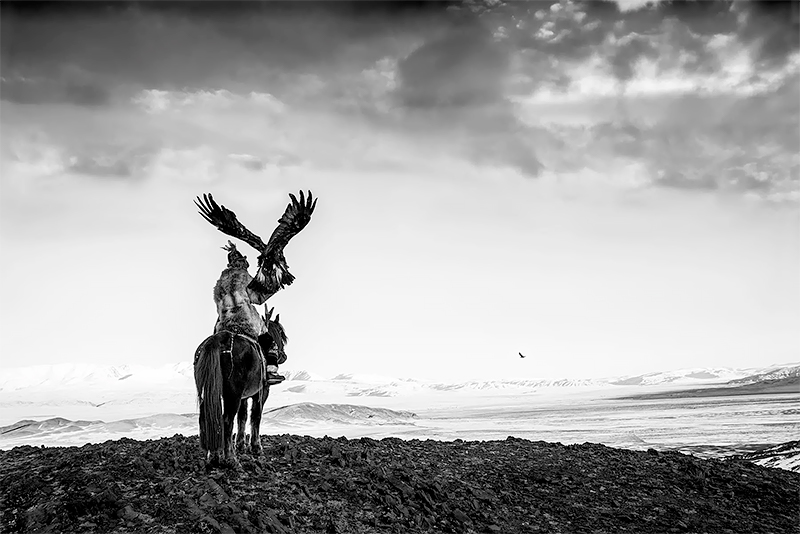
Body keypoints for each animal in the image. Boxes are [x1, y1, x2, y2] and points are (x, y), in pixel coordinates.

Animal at [194, 310, 288, 468]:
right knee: (226, 421)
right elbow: (256, 416)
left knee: (208, 419)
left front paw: (241, 444)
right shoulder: (261, 393)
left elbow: (242, 416)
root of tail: (218, 340)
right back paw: (231, 459)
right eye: (281, 333)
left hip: (209, 393)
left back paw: (213, 456)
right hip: (233, 395)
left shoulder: (243, 397)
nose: (283, 356)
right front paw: (256, 446)